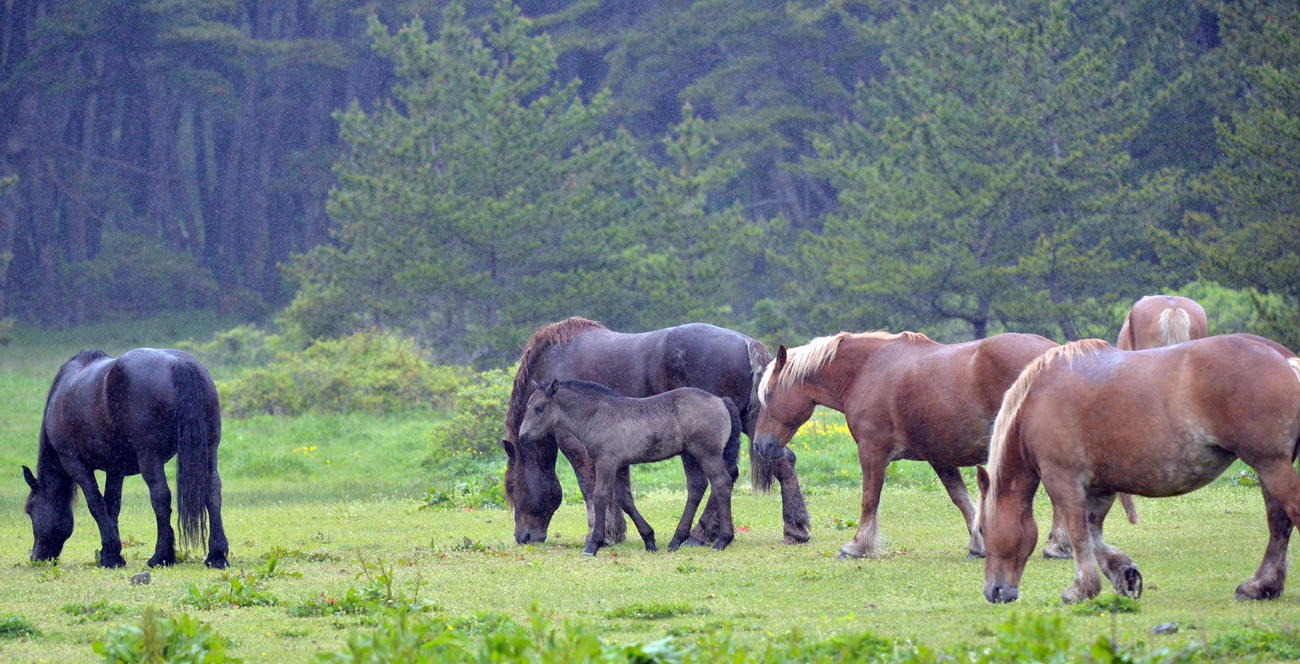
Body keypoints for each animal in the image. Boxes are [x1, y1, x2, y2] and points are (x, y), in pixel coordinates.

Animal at [22, 349, 229, 569]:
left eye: (30, 510)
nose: (36, 557)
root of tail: (179, 364)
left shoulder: (75, 464)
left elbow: (96, 503)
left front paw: (110, 554)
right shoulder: (115, 469)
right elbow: (112, 505)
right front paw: (109, 553)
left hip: (150, 457)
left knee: (160, 496)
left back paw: (161, 556)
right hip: (209, 449)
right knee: (212, 491)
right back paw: (216, 555)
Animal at [518, 379, 741, 555]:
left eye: (539, 408)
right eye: (528, 406)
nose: (523, 437)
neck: (598, 414)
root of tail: (720, 400)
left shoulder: (606, 462)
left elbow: (600, 496)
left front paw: (593, 545)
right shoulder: (620, 465)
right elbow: (625, 500)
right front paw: (649, 540)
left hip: (707, 453)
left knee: (721, 483)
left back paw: (722, 540)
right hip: (689, 455)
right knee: (696, 487)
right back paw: (676, 540)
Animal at [752, 330, 1064, 559]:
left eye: (769, 394)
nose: (760, 445)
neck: (867, 369)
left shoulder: (872, 451)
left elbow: (869, 499)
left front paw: (857, 546)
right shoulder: (941, 458)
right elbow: (962, 500)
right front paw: (979, 544)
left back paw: (1057, 546)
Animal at [977, 335, 1300, 604]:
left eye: (982, 528)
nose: (994, 592)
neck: (1038, 401)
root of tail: (1284, 358)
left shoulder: (1063, 481)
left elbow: (1078, 534)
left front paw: (1081, 589)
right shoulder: (1100, 489)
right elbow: (1093, 535)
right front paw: (1125, 575)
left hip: (1271, 465)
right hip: (1268, 470)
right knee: (1278, 524)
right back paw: (1260, 586)